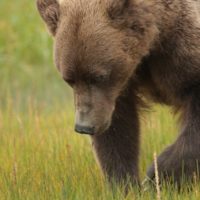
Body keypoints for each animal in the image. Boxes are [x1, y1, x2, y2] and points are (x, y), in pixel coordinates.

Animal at [36, 0, 200, 188]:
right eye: (69, 79)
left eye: (99, 76)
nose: (84, 126)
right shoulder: (116, 92)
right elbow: (119, 128)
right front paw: (125, 183)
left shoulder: (178, 48)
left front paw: (158, 176)